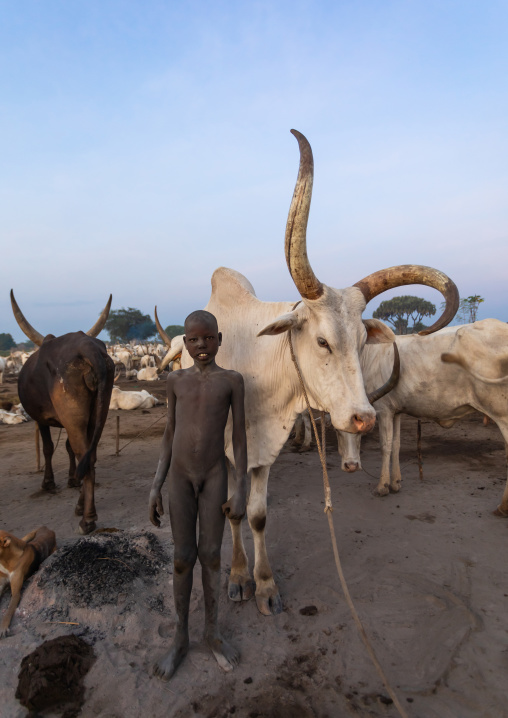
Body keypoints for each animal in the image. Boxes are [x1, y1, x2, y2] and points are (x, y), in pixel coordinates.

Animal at [10, 290, 115, 535]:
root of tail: (87, 347)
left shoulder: (41, 419)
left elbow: (48, 448)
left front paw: (48, 482)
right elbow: (66, 448)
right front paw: (71, 479)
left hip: (74, 418)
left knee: (83, 455)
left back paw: (87, 518)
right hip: (97, 414)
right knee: (89, 456)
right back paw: (80, 506)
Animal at [155, 130, 459, 615]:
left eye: (361, 341)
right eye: (321, 341)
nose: (362, 418)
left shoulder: (260, 453)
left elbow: (257, 514)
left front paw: (264, 584)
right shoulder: (229, 451)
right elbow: (231, 511)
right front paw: (237, 578)